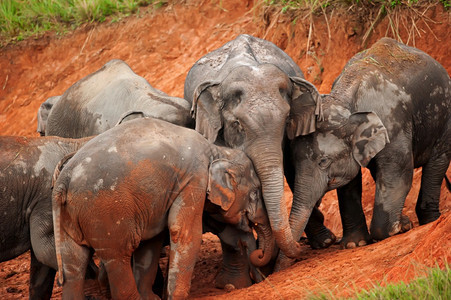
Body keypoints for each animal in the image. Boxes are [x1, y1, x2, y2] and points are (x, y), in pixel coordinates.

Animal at [51, 117, 274, 300]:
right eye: (255, 192)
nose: (258, 254)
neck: (216, 150)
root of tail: (64, 179)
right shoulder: (194, 179)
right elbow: (184, 233)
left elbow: (151, 242)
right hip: (104, 212)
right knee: (117, 257)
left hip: (69, 217)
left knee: (73, 266)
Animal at [278, 38, 450, 270]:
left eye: (323, 161)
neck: (346, 99)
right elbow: (349, 184)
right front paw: (355, 244)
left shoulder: (393, 125)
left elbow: (399, 175)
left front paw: (396, 229)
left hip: (444, 118)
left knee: (436, 164)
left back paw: (429, 220)